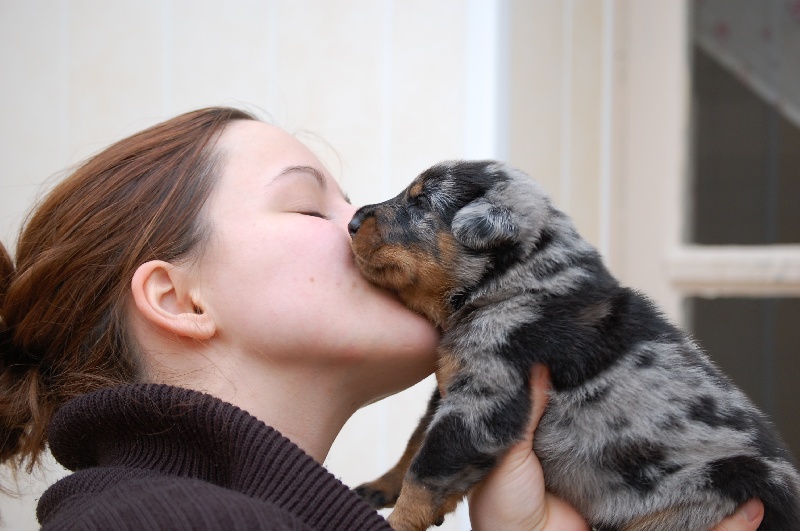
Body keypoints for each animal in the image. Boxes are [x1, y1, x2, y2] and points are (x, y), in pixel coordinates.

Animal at [348, 161, 800, 531]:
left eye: (421, 202)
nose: (352, 220)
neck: (515, 281)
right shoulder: (449, 391)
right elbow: (415, 444)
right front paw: (380, 486)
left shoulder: (481, 398)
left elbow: (427, 471)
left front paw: (398, 520)